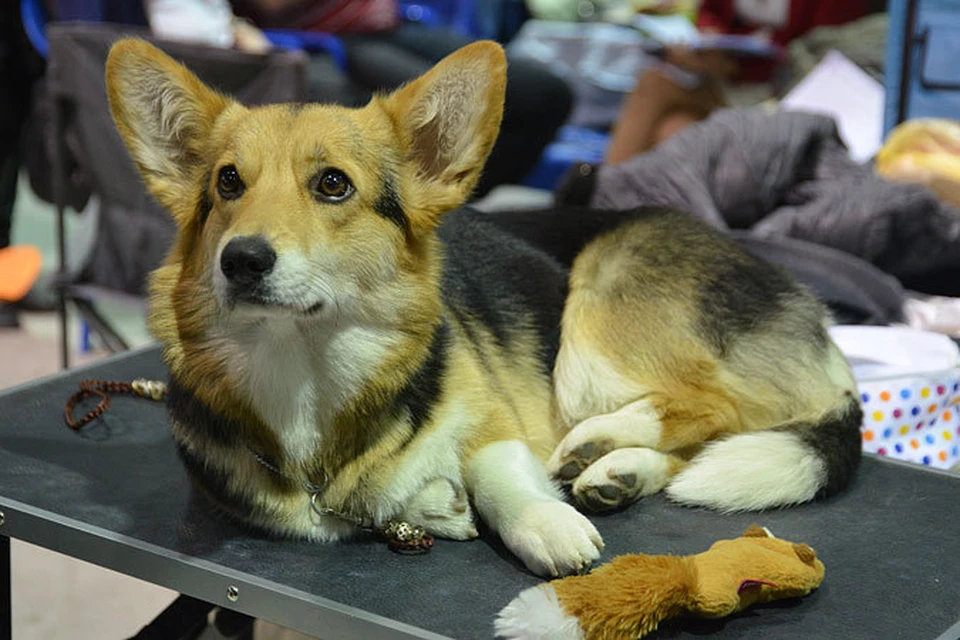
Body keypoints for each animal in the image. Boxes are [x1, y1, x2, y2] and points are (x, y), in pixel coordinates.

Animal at [105, 41, 864, 580]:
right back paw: (615, 473)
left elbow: (500, 473)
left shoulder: (494, 417)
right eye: (228, 182)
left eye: (333, 185)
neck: (306, 368)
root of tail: (813, 314)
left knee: (714, 406)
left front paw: (546, 525)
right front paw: (436, 506)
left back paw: (600, 443)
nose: (241, 261)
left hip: (593, 317)